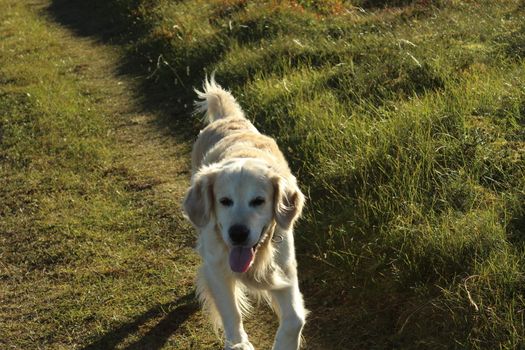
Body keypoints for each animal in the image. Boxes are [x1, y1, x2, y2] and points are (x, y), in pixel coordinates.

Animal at [182, 75, 308, 348]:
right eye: (224, 201)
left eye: (258, 201)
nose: (238, 234)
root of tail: (226, 119)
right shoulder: (217, 267)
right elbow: (231, 312)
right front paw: (238, 342)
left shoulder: (283, 267)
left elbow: (294, 320)